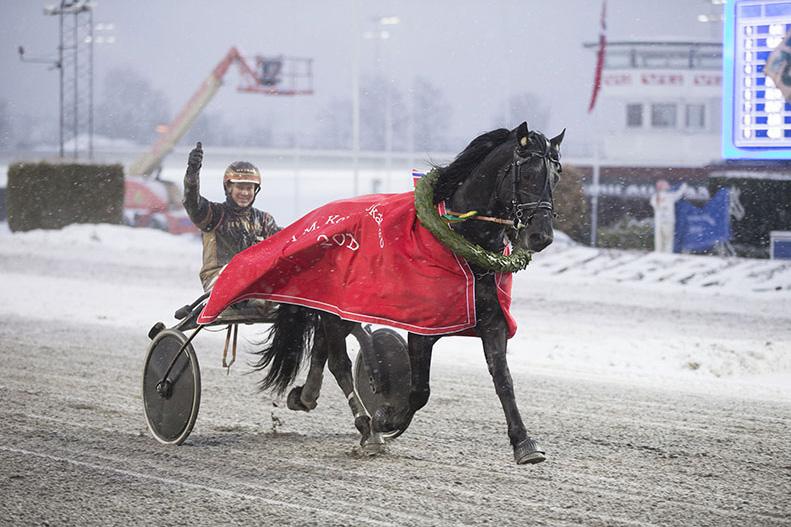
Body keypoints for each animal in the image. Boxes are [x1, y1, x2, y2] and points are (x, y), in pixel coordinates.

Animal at [252, 121, 564, 464]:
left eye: (556, 176)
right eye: (530, 173)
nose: (542, 236)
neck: (461, 241)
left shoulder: (493, 321)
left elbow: (503, 380)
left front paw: (524, 442)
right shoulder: (422, 326)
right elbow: (419, 391)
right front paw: (386, 419)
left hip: (339, 306)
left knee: (325, 344)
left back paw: (307, 396)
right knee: (340, 363)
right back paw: (366, 427)